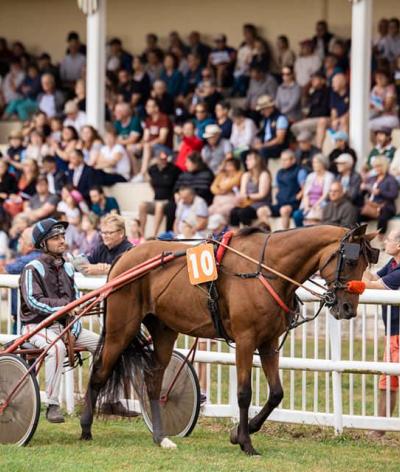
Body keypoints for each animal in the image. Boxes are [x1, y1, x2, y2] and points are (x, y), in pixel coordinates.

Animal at [80, 225, 378, 454]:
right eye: (352, 261)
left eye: (366, 263)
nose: (348, 308)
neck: (266, 269)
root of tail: (124, 257)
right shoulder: (245, 340)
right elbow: (244, 394)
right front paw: (245, 442)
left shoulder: (269, 343)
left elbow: (277, 393)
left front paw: (242, 431)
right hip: (121, 328)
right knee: (99, 372)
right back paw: (85, 428)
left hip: (164, 331)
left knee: (153, 381)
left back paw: (161, 437)